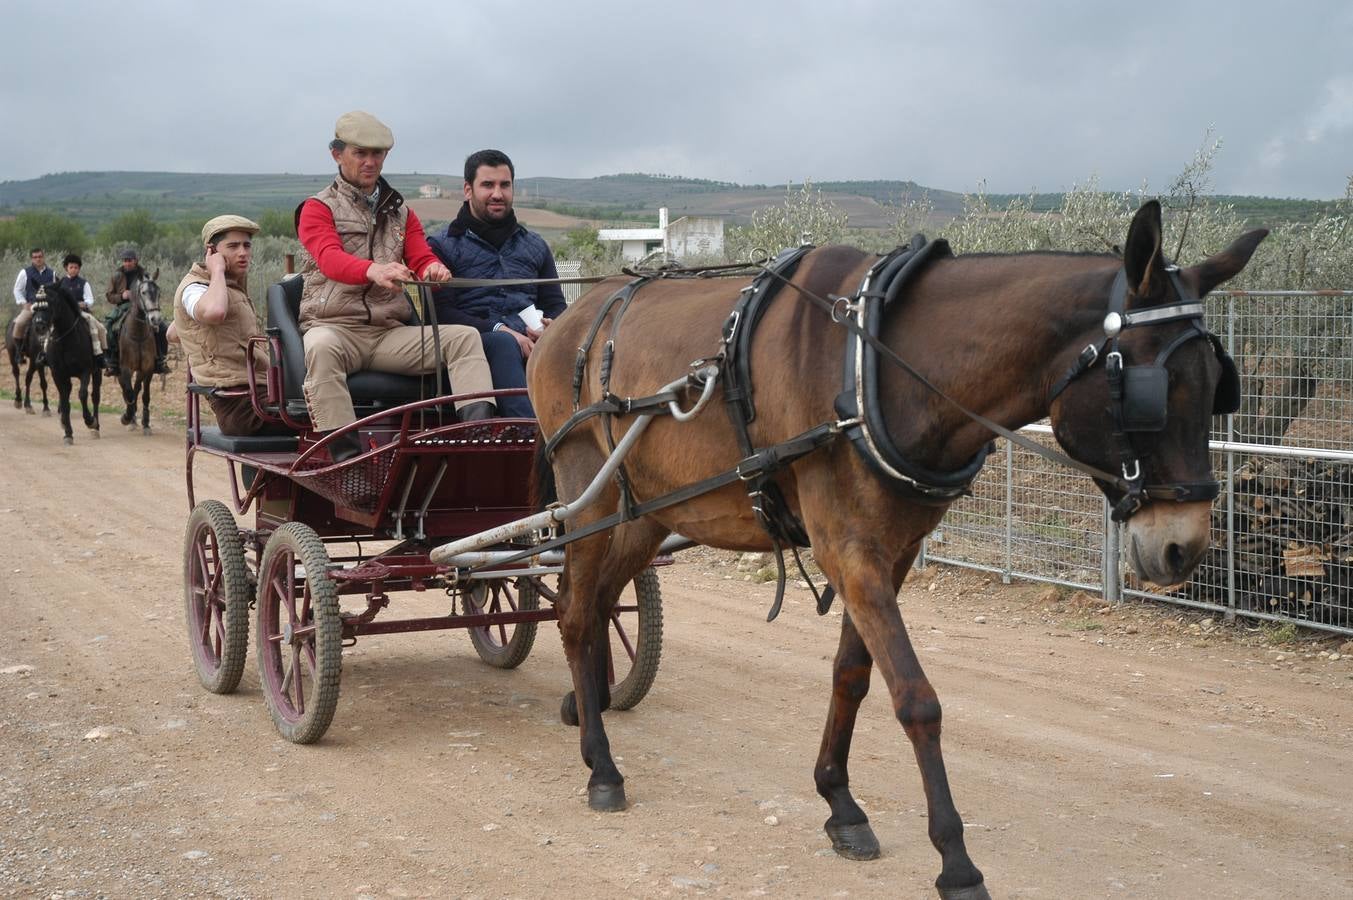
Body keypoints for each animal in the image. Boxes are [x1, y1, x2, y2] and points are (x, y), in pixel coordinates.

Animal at [30, 282, 101, 443]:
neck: (66, 339)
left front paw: (90, 421)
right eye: (36, 303)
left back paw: (96, 427)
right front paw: (68, 433)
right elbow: (64, 400)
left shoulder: (86, 371)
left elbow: (82, 394)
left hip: (97, 373)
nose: (39, 326)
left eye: (52, 301)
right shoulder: (58, 374)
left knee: (95, 396)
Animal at [117, 267, 162, 433]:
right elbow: (129, 392)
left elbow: (143, 393)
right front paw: (126, 417)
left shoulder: (147, 368)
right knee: (125, 389)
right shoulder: (125, 368)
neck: (138, 335)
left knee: (136, 389)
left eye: (158, 292)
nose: (155, 319)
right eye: (143, 292)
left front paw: (146, 423)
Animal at [524, 203, 1266, 898]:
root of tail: (567, 320)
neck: (872, 366)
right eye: (1148, 392)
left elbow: (853, 674)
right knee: (575, 615)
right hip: (587, 498)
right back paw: (601, 766)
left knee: (593, 603)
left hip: (646, 511)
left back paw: (586, 704)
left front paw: (840, 802)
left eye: (1216, 385)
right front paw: (956, 862)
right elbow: (915, 697)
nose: (1184, 547)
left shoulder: (895, 550)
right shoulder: (848, 550)